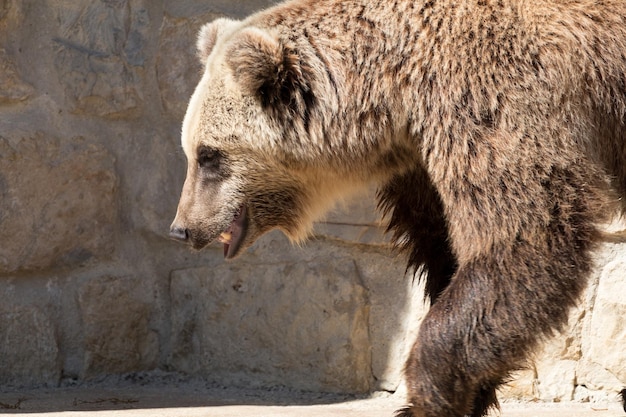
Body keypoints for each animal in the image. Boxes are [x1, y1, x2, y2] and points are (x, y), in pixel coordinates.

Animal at [169, 1, 624, 414]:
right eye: (191, 150)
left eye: (208, 155)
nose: (182, 228)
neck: (394, 95)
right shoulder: (422, 162)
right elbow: (443, 249)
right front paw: (474, 390)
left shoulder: (498, 99)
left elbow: (528, 236)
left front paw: (426, 395)